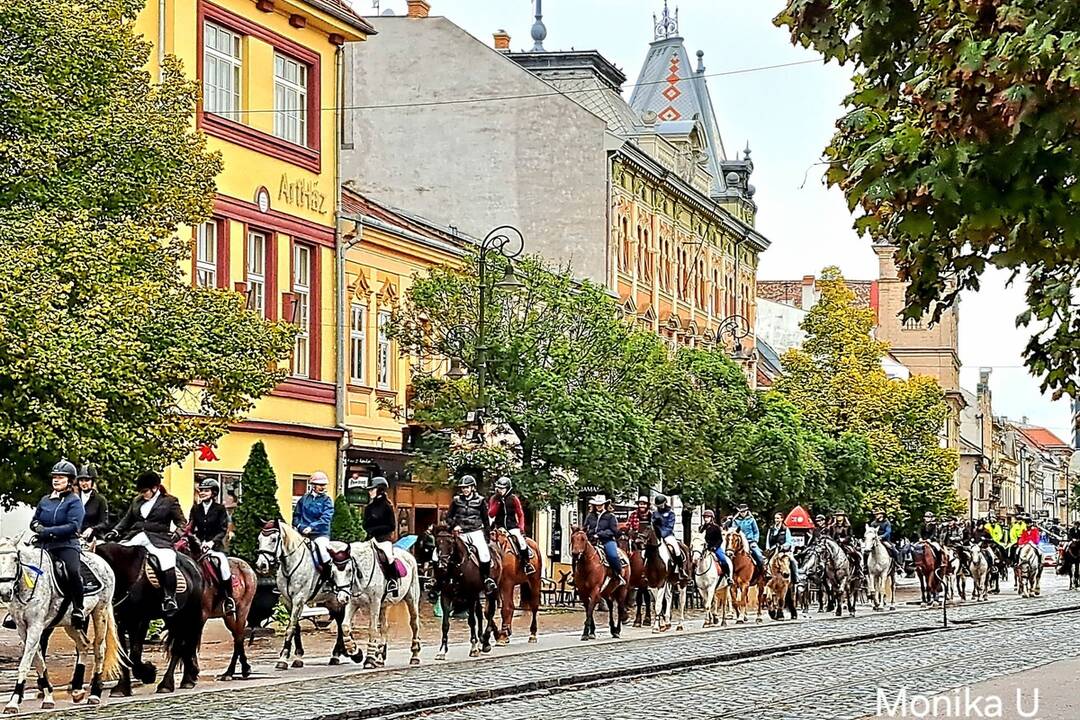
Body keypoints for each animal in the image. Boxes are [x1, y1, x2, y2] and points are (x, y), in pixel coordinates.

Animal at [0, 537, 122, 712]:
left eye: (15, 559)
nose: (5, 592)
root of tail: (101, 560)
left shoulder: (36, 627)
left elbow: (26, 663)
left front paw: (13, 701)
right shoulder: (23, 629)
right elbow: (38, 661)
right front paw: (48, 697)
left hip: (100, 612)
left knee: (99, 649)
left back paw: (94, 694)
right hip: (71, 623)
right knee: (84, 644)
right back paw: (77, 690)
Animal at [95, 544, 204, 695]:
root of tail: (194, 565)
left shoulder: (140, 620)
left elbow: (134, 653)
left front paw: (148, 673)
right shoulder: (119, 622)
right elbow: (124, 655)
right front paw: (122, 688)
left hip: (184, 616)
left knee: (179, 647)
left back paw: (167, 684)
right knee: (184, 645)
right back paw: (188, 677)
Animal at [177, 535, 261, 682]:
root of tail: (247, 567)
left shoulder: (201, 615)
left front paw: (192, 671)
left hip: (243, 609)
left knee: (239, 636)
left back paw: (234, 671)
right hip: (228, 616)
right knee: (237, 636)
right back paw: (236, 670)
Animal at [253, 524, 347, 669]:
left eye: (274, 539)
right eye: (259, 539)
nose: (261, 565)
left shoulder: (299, 599)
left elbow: (290, 628)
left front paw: (282, 659)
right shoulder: (288, 601)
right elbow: (295, 627)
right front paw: (298, 657)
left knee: (341, 623)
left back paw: (336, 655)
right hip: (330, 601)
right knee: (339, 621)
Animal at [328, 537, 421, 669]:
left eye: (349, 570)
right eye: (333, 572)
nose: (342, 598)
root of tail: (408, 555)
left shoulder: (374, 603)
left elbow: (372, 629)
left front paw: (369, 660)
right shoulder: (353, 603)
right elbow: (345, 626)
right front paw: (355, 651)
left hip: (411, 598)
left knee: (414, 623)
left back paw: (415, 656)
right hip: (383, 605)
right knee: (384, 627)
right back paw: (380, 658)